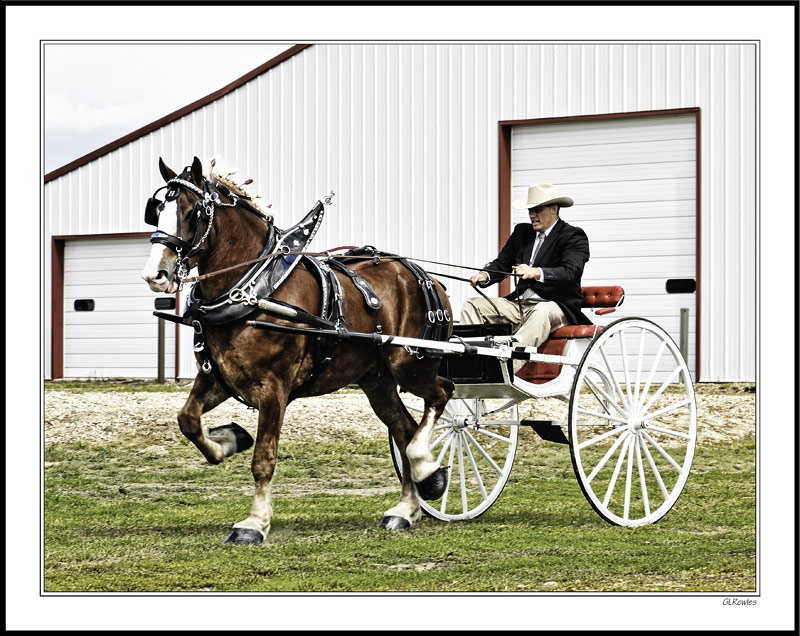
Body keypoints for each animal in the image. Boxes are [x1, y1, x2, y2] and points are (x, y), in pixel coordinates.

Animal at [141, 157, 454, 544]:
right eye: (156, 211)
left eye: (192, 212)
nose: (155, 274)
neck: (253, 288)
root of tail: (428, 277)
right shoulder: (218, 378)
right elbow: (188, 420)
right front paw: (230, 440)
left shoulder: (274, 387)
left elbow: (263, 459)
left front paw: (254, 523)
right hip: (377, 381)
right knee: (404, 429)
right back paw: (406, 509)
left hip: (410, 365)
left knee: (440, 397)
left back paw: (429, 471)